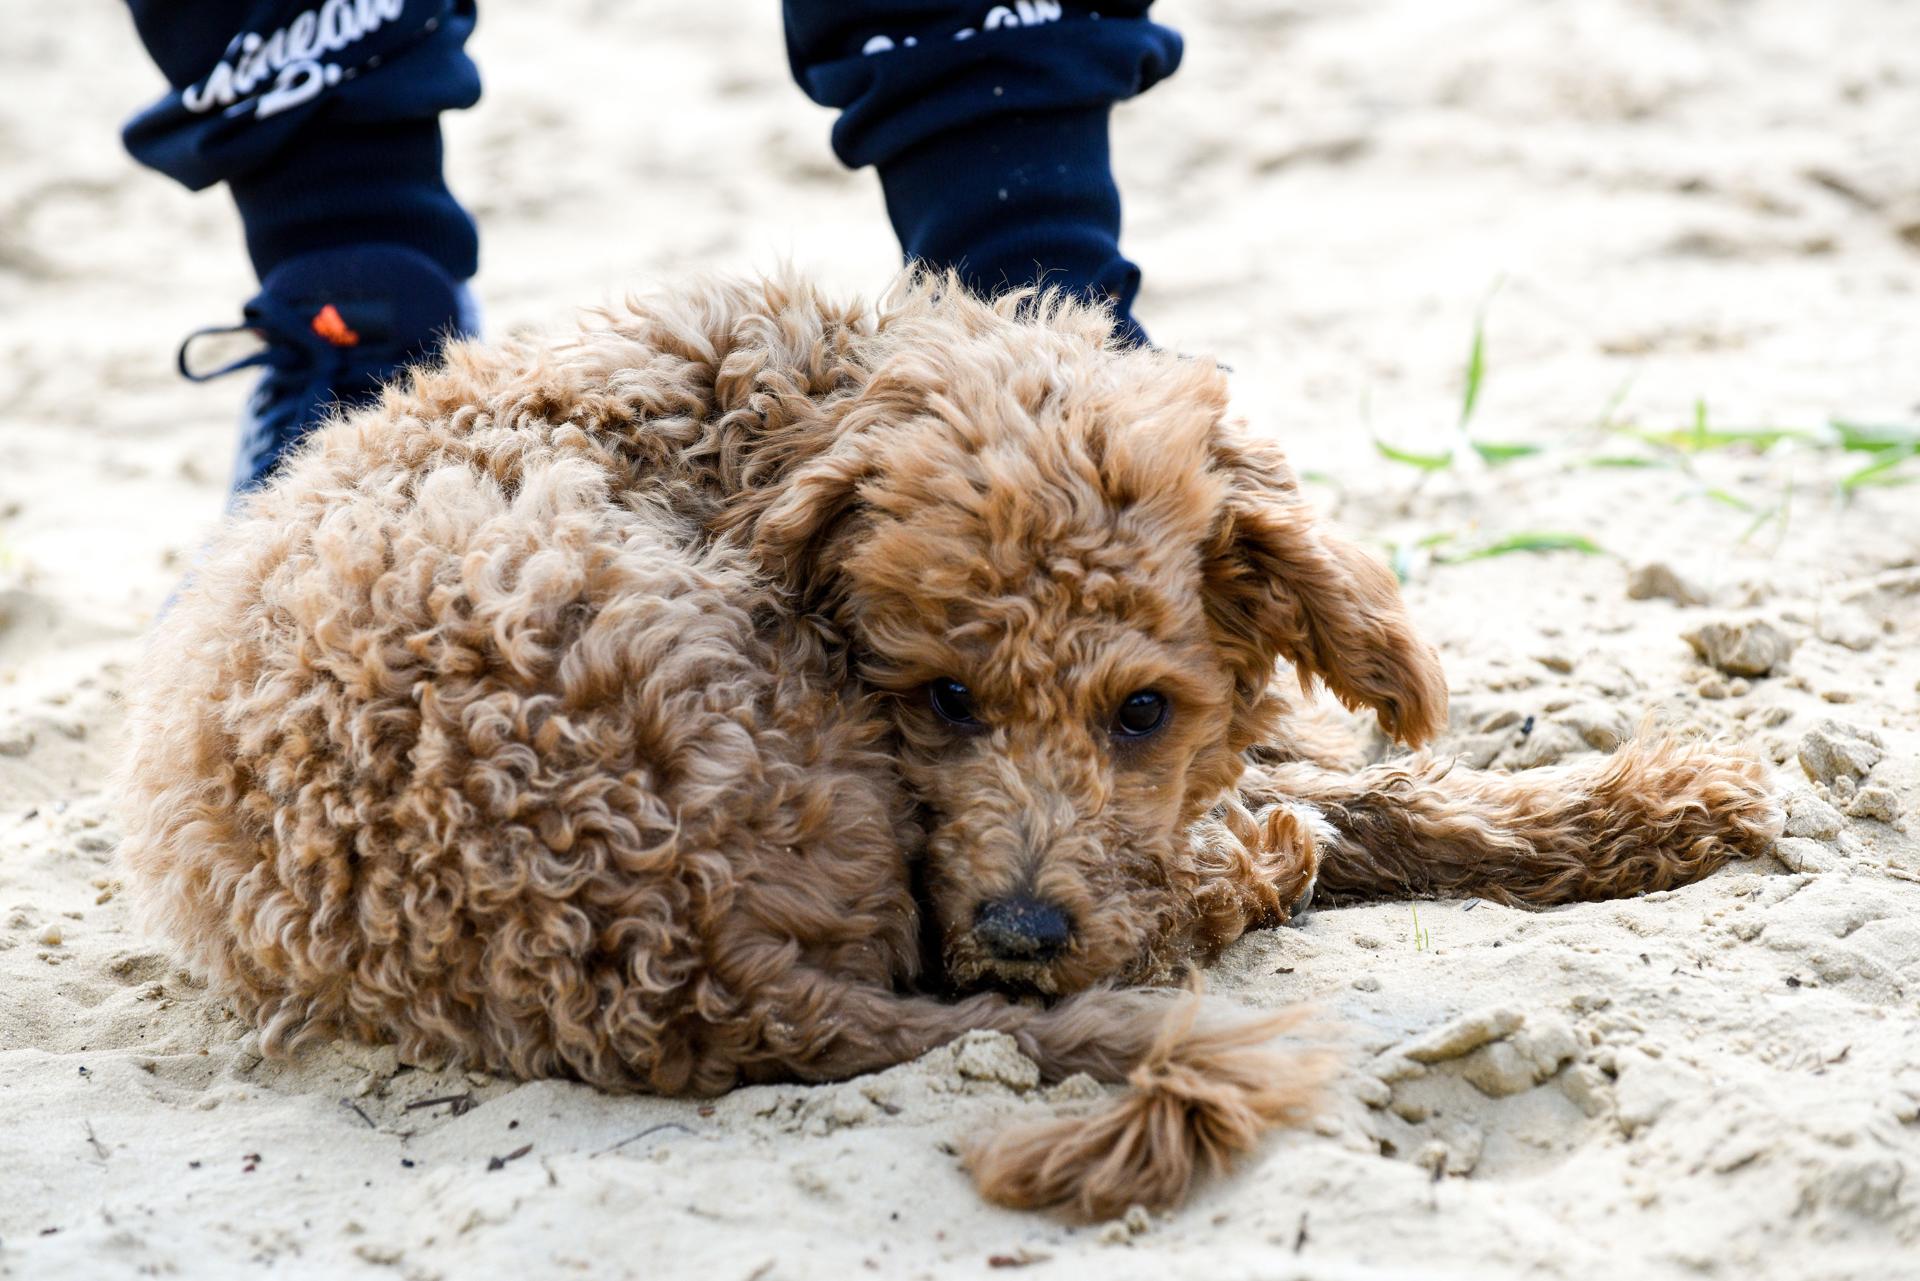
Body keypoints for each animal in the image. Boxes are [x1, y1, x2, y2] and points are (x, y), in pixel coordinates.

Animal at [116, 272, 1766, 1221]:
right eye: (947, 698)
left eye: (1142, 708)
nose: (1024, 929)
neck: (795, 408)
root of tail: (676, 977)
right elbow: (1328, 808)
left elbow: (1382, 789)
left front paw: (1648, 801)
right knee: (1200, 896)